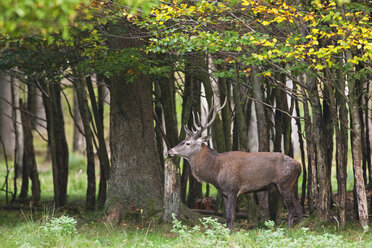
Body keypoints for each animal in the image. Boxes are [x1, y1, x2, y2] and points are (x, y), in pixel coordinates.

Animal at [168, 98, 302, 229]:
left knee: (292, 208)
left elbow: (230, 215)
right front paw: (228, 231)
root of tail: (299, 165)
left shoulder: (232, 188)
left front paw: (231, 232)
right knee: (298, 207)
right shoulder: (224, 192)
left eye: (188, 143)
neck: (215, 171)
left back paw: (289, 229)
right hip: (289, 185)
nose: (170, 150)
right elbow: (229, 215)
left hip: (284, 182)